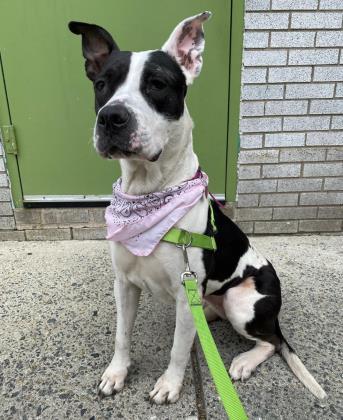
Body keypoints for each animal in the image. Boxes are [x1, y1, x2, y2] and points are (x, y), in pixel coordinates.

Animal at [68, 12, 328, 404]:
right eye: (101, 84)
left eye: (157, 84)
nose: (111, 117)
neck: (149, 191)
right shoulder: (124, 285)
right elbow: (122, 335)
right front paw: (117, 373)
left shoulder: (182, 291)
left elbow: (178, 348)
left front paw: (170, 385)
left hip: (241, 302)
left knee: (272, 341)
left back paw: (244, 361)